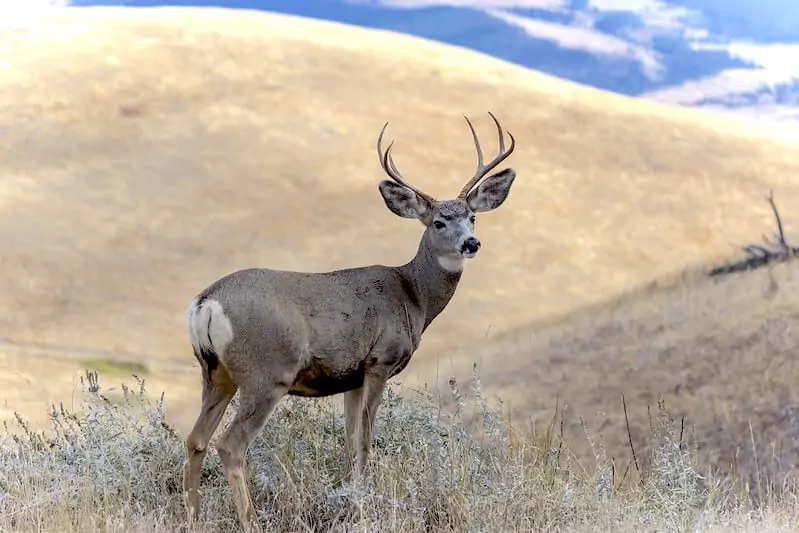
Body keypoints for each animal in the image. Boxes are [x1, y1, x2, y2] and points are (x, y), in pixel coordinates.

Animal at [181, 110, 520, 528]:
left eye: (472, 216)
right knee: (230, 445)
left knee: (196, 439)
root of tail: (205, 303)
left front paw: (346, 499)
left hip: (216, 373)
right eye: (438, 222)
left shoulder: (351, 376)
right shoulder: (380, 359)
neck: (412, 294)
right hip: (267, 372)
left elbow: (347, 438)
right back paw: (251, 522)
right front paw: (361, 505)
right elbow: (365, 438)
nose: (471, 243)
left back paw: (193, 517)